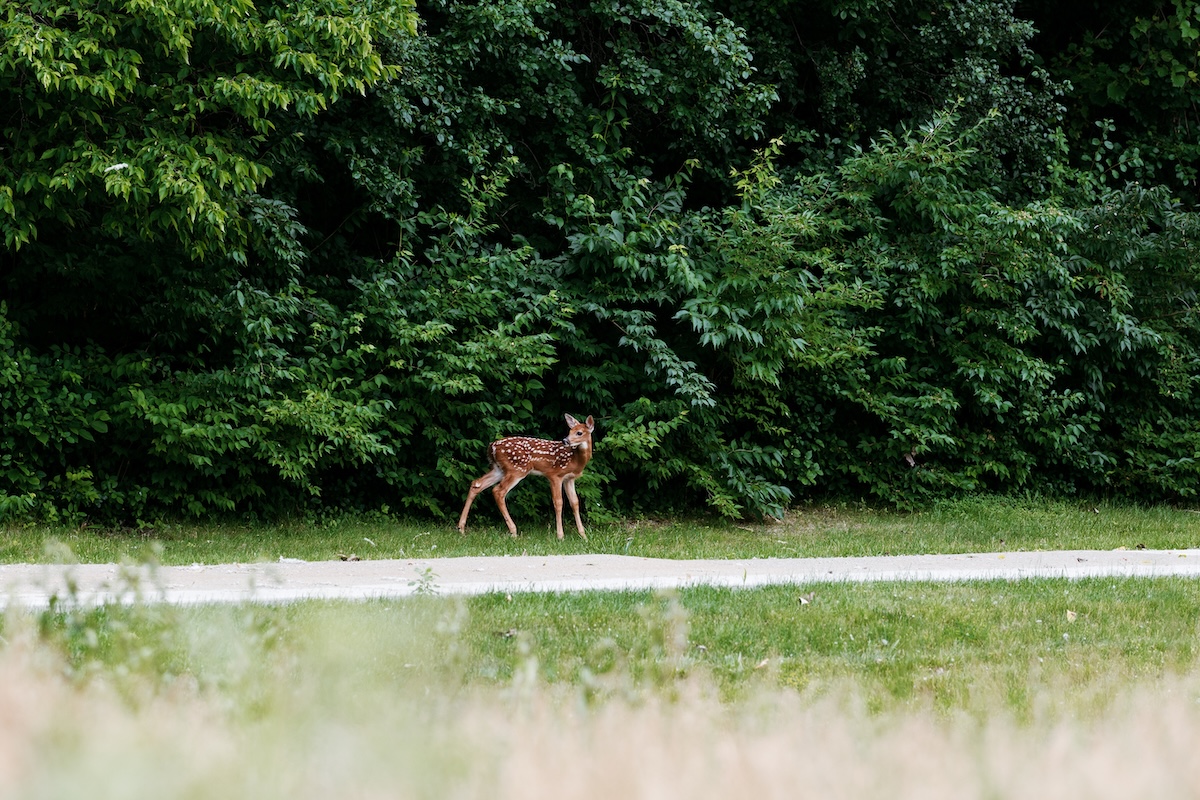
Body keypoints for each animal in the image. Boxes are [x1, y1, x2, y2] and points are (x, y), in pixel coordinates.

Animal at [457, 414, 596, 540]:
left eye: (579, 432)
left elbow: (575, 502)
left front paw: (583, 535)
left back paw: (461, 528)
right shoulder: (554, 475)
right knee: (498, 491)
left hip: (499, 469)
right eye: (569, 431)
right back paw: (513, 531)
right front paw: (560, 536)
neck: (575, 460)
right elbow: (558, 502)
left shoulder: (569, 478)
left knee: (477, 484)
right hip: (517, 470)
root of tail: (492, 447)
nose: (565, 440)